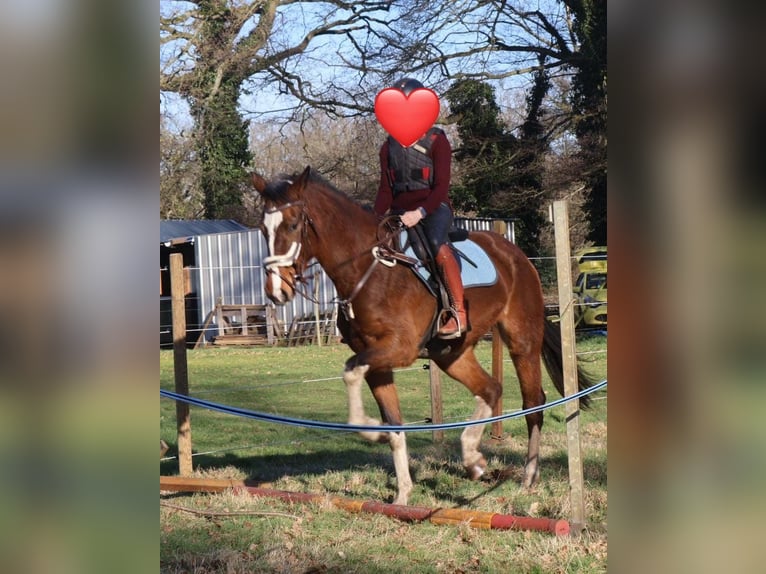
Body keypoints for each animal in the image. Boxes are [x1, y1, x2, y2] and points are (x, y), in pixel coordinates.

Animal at [252, 164, 592, 506]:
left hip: (522, 340)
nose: (276, 291)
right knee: (491, 389)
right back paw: (473, 458)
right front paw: (402, 495)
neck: (368, 270)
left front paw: (370, 429)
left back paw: (528, 475)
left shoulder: (400, 349)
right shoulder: (376, 361)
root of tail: (516, 255)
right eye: (263, 229)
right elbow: (393, 422)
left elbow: (350, 372)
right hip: (450, 355)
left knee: (533, 402)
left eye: (293, 224)